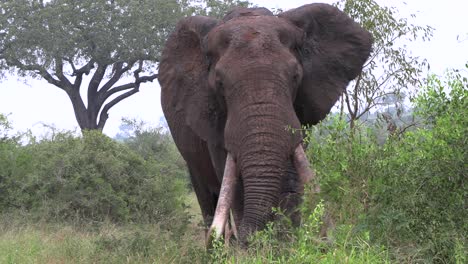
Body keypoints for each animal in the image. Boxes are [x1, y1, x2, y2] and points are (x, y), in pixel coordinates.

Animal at [159, 3, 372, 245]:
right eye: (219, 83)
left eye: (296, 76)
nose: (244, 240)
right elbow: (232, 179)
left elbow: (292, 176)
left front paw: (284, 244)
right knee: (206, 197)